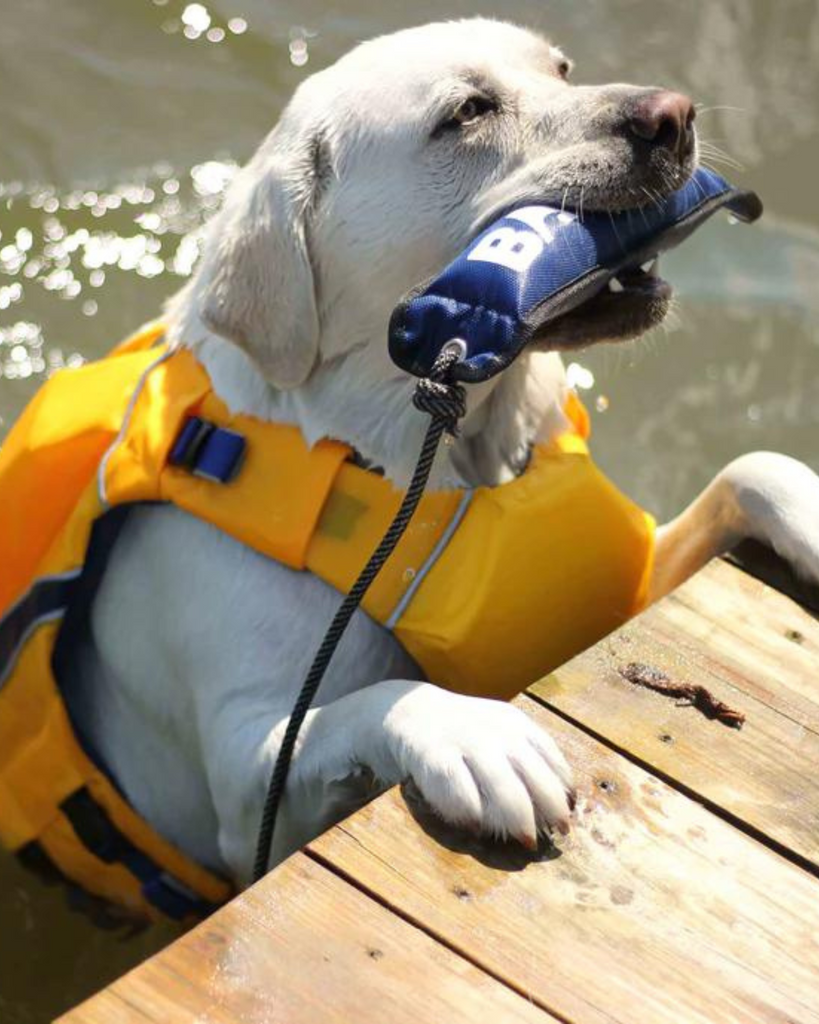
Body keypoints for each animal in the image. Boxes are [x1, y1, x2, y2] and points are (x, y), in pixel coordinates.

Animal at [44, 19, 818, 892]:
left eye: (561, 69)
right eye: (468, 112)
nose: (673, 114)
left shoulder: (620, 588)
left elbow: (751, 467)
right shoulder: (244, 797)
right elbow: (371, 701)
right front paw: (480, 741)